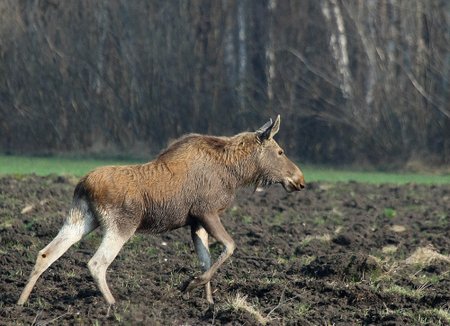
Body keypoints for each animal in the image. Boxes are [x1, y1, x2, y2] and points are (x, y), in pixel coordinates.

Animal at [18, 116, 306, 306]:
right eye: (280, 151)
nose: (300, 180)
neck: (236, 174)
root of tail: (83, 186)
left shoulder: (195, 221)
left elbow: (206, 259)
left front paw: (208, 303)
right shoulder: (207, 211)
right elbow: (230, 246)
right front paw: (190, 284)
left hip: (82, 218)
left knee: (47, 252)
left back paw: (21, 302)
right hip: (121, 224)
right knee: (96, 262)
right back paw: (113, 305)